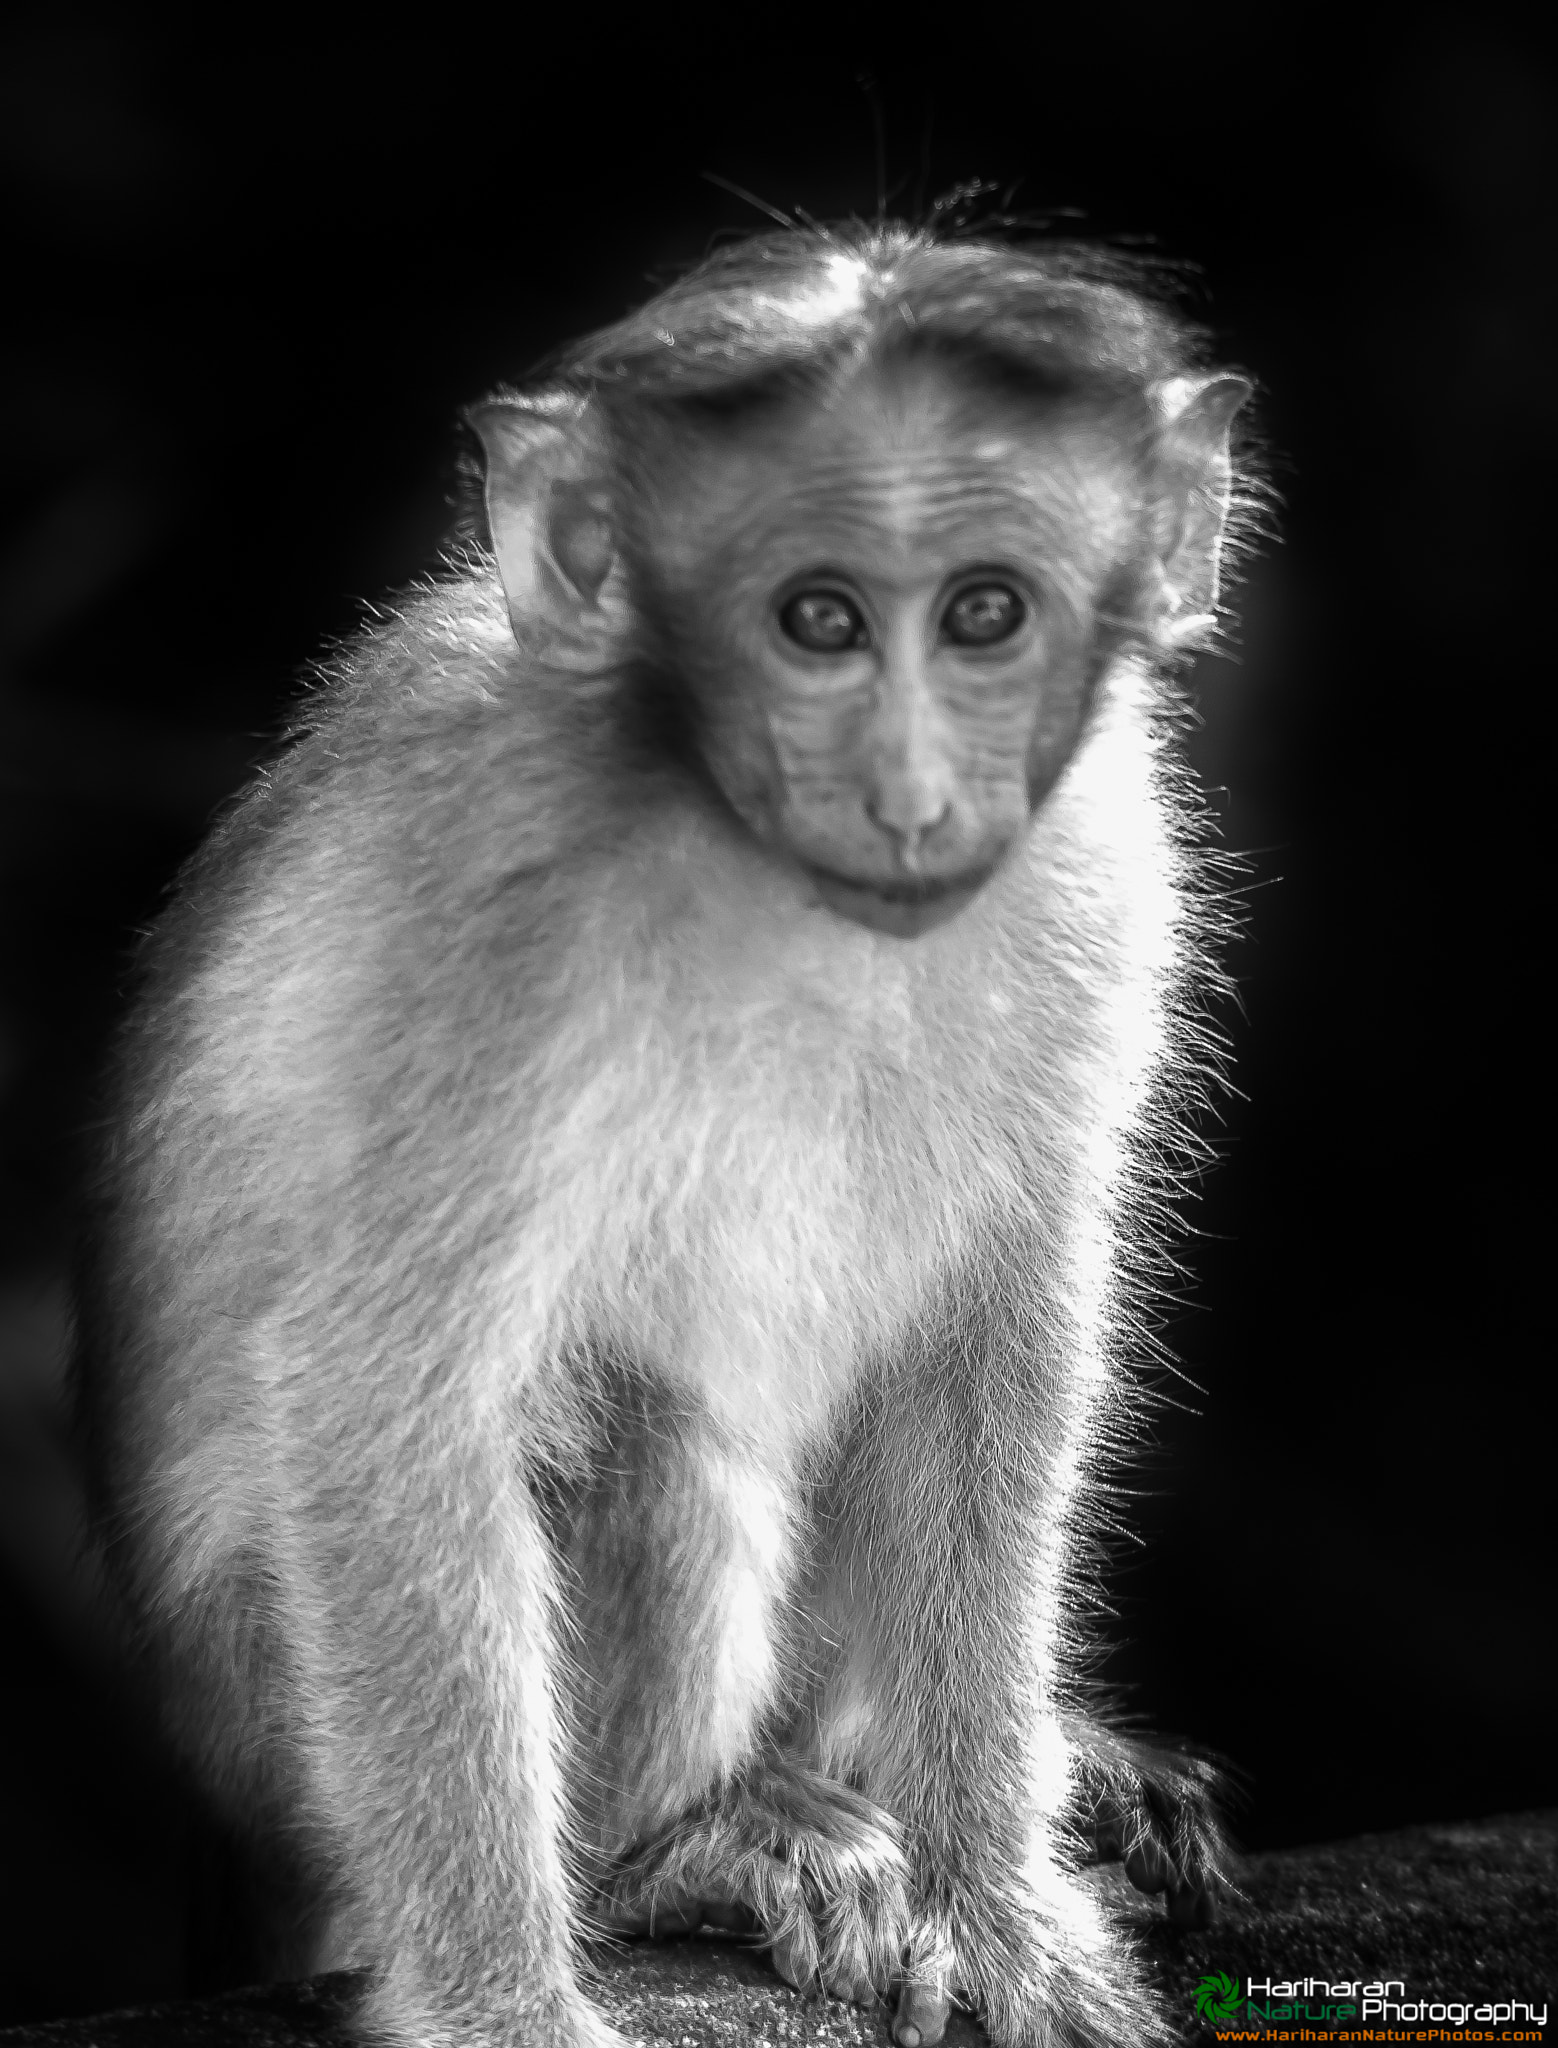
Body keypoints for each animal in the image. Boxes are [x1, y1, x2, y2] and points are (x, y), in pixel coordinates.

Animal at [74, 225, 1254, 2048]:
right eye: (815, 622)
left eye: (985, 613)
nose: (912, 790)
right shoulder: (495, 914)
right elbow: (380, 1395)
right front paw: (498, 2007)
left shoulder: (1098, 870)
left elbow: (991, 1330)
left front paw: (989, 1894)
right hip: (277, 1731)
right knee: (635, 1431)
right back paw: (676, 1844)